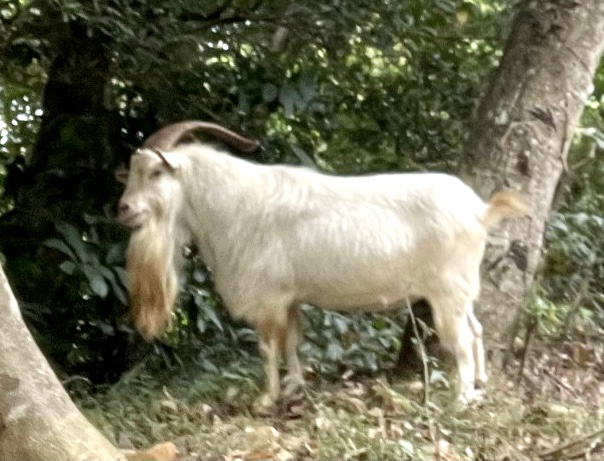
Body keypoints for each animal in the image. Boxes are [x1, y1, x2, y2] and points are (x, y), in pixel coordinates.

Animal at [117, 120, 528, 408]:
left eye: (155, 172)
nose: (124, 209)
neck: (235, 205)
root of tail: (480, 210)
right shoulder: (290, 298)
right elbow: (292, 344)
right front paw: (293, 387)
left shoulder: (268, 299)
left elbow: (268, 348)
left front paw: (266, 398)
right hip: (460, 292)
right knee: (476, 330)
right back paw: (481, 386)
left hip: (447, 293)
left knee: (461, 341)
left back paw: (460, 400)